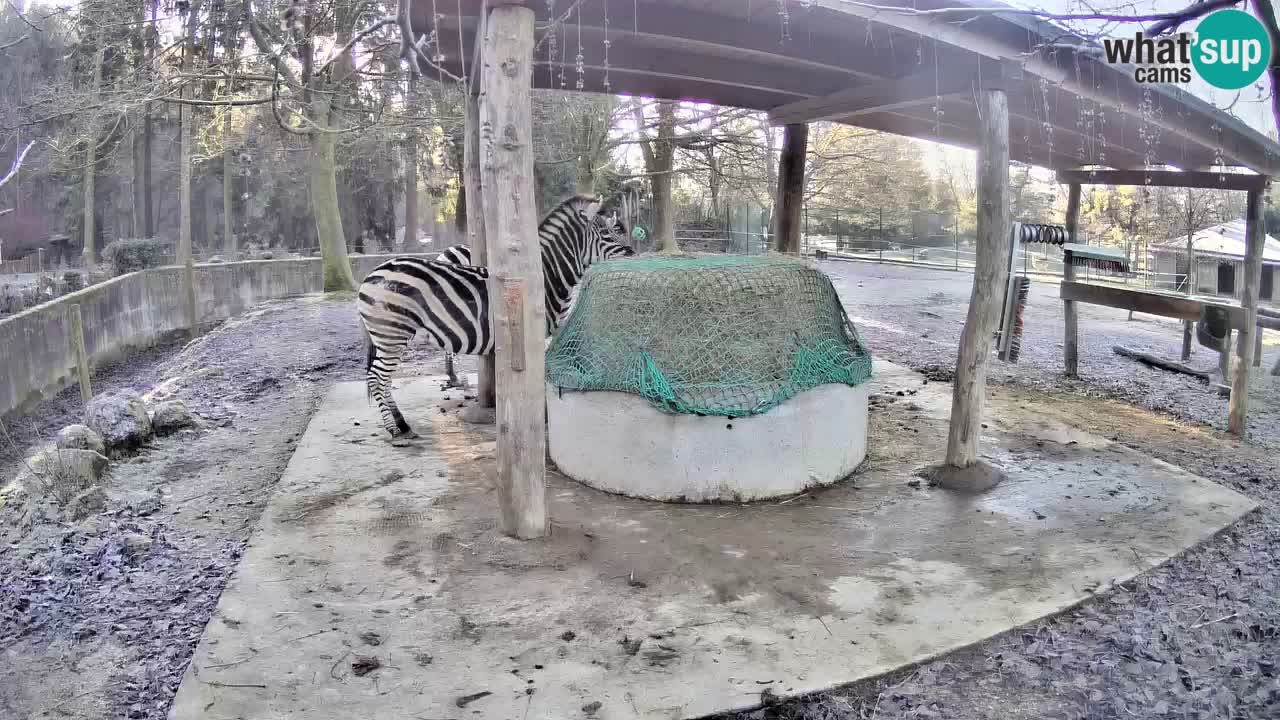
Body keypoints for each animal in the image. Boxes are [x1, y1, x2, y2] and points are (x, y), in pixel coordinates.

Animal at [358, 193, 637, 440]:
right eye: (608, 234)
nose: (635, 257)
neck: (546, 277)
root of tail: (373, 273)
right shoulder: (537, 334)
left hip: (389, 335)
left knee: (381, 378)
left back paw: (402, 425)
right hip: (392, 333)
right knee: (377, 378)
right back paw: (395, 430)